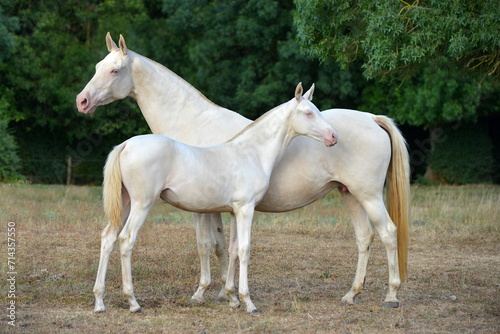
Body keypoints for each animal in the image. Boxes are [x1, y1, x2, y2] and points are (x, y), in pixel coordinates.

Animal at [96, 83, 338, 314]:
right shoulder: (246, 209)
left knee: (108, 237)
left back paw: (99, 301)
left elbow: (232, 250)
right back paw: (133, 302)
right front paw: (248, 302)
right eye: (308, 113)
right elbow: (244, 250)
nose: (333, 137)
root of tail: (126, 144)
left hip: (125, 203)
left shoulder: (233, 211)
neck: (252, 153)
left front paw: (232, 298)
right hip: (141, 203)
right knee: (126, 240)